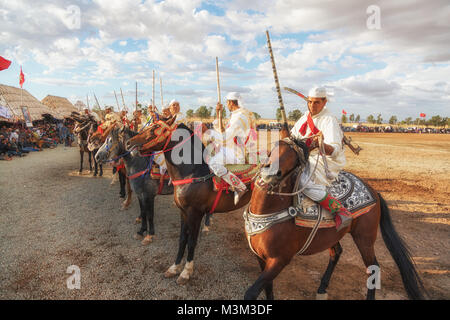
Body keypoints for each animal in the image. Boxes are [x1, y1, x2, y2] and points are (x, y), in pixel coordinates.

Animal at [125, 119, 255, 284]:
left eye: (156, 127)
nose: (129, 143)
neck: (193, 174)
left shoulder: (195, 213)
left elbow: (192, 241)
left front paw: (186, 272)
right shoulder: (183, 212)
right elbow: (182, 239)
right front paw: (174, 268)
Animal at [244, 136, 428, 300]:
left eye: (295, 157)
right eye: (274, 148)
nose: (270, 172)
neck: (268, 210)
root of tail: (374, 191)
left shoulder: (280, 260)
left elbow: (251, 293)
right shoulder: (261, 258)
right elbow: (268, 289)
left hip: (364, 238)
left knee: (372, 266)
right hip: (333, 235)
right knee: (337, 253)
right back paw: (322, 288)